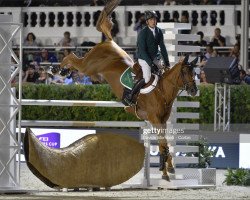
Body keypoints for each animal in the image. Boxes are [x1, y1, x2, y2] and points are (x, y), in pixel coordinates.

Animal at [60, 0, 197, 181]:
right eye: (185, 73)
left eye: (194, 73)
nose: (194, 90)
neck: (162, 91)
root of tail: (109, 41)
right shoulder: (155, 119)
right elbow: (163, 143)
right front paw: (165, 171)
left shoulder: (162, 121)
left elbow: (164, 143)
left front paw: (168, 169)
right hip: (87, 66)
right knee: (71, 57)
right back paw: (58, 70)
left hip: (91, 71)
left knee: (74, 61)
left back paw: (64, 71)